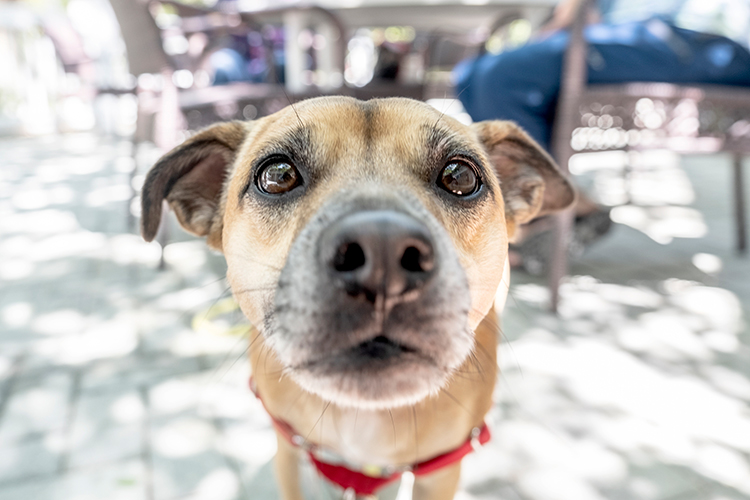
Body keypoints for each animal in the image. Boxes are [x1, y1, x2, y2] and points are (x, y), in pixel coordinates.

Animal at [140, 95, 576, 498]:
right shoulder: (289, 451)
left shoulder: (439, 473)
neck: (362, 412)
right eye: (277, 175)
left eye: (461, 177)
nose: (383, 250)